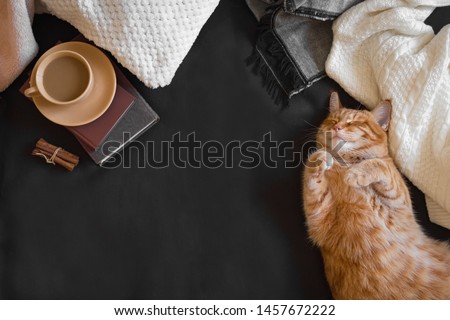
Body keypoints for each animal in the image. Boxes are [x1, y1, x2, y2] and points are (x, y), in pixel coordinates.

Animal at [302, 92, 450, 300]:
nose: (337, 127)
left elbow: (379, 164)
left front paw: (356, 173)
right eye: (334, 120)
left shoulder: (399, 207)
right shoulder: (319, 219)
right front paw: (320, 156)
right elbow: (311, 176)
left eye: (354, 122)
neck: (345, 163)